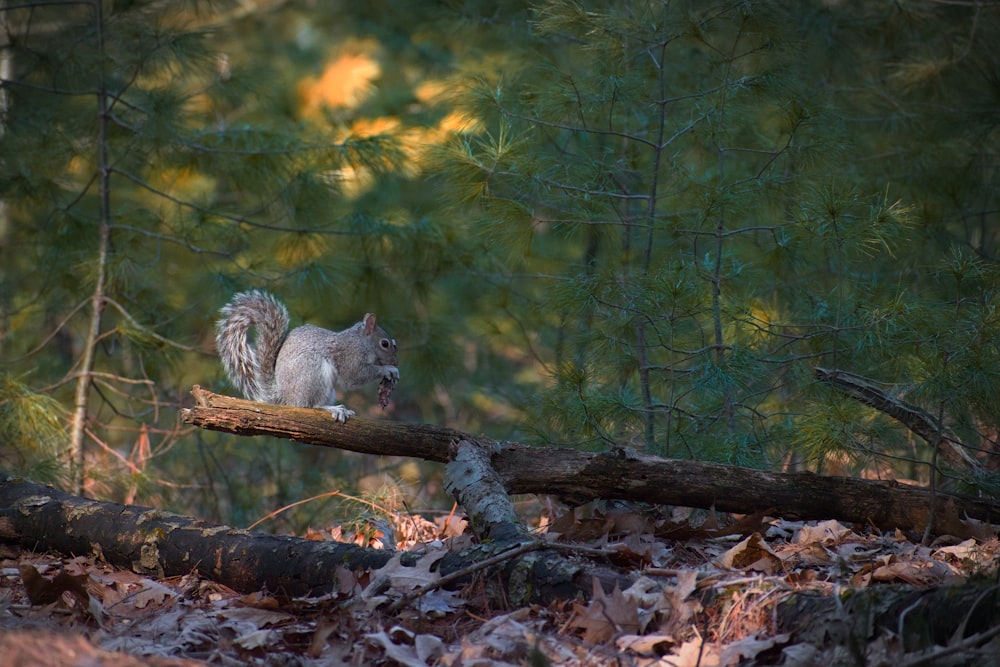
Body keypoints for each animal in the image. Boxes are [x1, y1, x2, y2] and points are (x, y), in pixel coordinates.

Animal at [216, 290, 398, 422]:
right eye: (385, 344)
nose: (395, 361)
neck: (361, 341)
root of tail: (284, 396)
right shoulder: (350, 356)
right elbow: (355, 376)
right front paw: (388, 369)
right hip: (314, 373)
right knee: (310, 405)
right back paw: (333, 409)